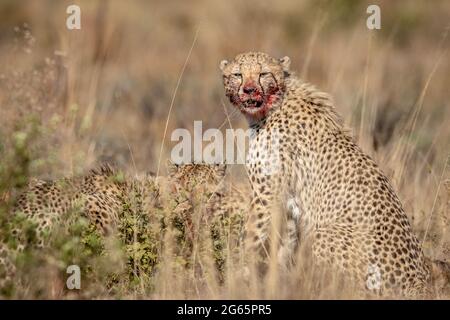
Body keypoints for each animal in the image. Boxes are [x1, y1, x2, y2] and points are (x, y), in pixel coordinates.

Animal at [220, 50, 430, 298]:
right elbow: (285, 245)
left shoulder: (265, 194)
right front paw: (279, 283)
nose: (249, 89)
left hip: (325, 236)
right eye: (237, 74)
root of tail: (420, 283)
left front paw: (235, 278)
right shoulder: (288, 202)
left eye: (263, 74)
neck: (272, 106)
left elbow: (249, 239)